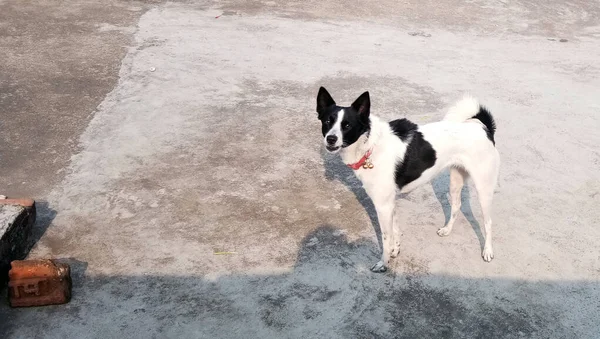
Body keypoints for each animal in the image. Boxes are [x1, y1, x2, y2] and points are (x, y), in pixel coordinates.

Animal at [316, 87, 500, 274]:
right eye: (327, 122)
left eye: (347, 125)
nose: (331, 139)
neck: (370, 147)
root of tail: (484, 129)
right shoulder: (389, 203)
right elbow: (395, 230)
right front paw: (396, 250)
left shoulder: (383, 206)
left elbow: (386, 237)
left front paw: (384, 263)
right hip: (456, 180)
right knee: (456, 205)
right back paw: (447, 230)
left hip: (483, 188)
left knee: (488, 221)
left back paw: (488, 251)